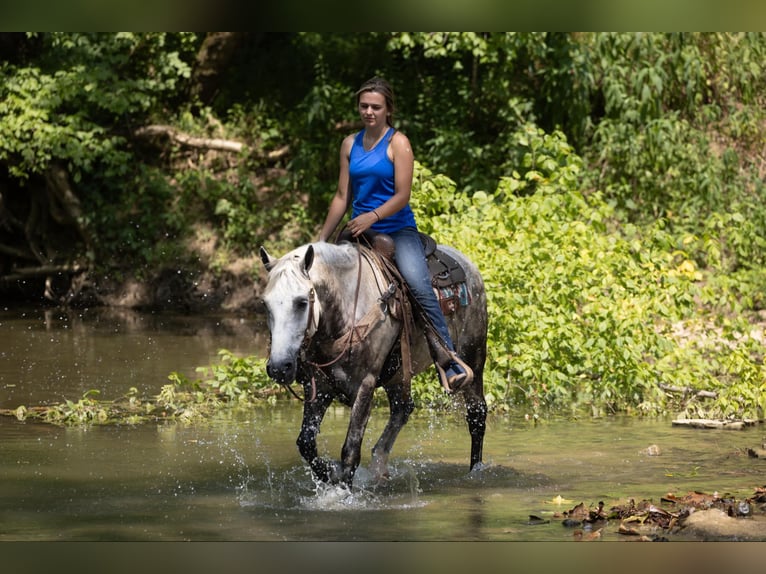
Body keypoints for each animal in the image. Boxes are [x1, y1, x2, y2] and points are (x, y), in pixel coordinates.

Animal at [259, 239, 487, 488]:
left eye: (301, 302)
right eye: (265, 304)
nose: (280, 367)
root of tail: (468, 264)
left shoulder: (365, 385)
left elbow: (350, 450)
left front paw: (342, 490)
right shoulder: (319, 386)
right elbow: (306, 443)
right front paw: (331, 474)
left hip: (473, 356)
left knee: (477, 414)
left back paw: (476, 470)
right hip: (397, 375)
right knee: (402, 409)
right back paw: (379, 467)